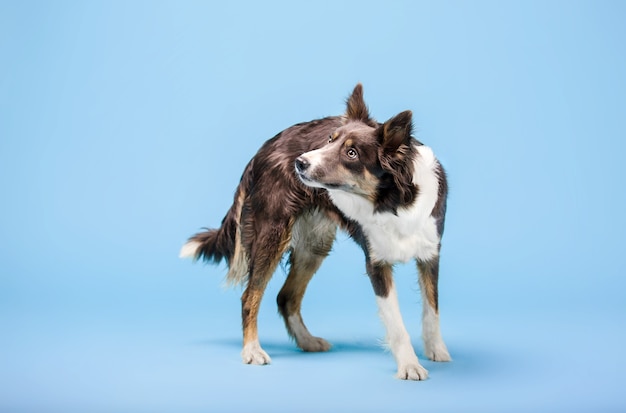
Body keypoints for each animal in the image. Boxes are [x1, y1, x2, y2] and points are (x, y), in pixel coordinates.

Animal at [179, 83, 448, 380]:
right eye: (330, 139)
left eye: (352, 153)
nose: (300, 162)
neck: (393, 203)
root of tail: (264, 148)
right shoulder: (377, 263)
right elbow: (396, 323)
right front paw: (410, 365)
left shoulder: (430, 254)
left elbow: (432, 309)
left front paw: (436, 350)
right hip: (271, 234)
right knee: (250, 296)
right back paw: (252, 350)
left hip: (314, 245)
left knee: (286, 297)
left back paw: (306, 341)